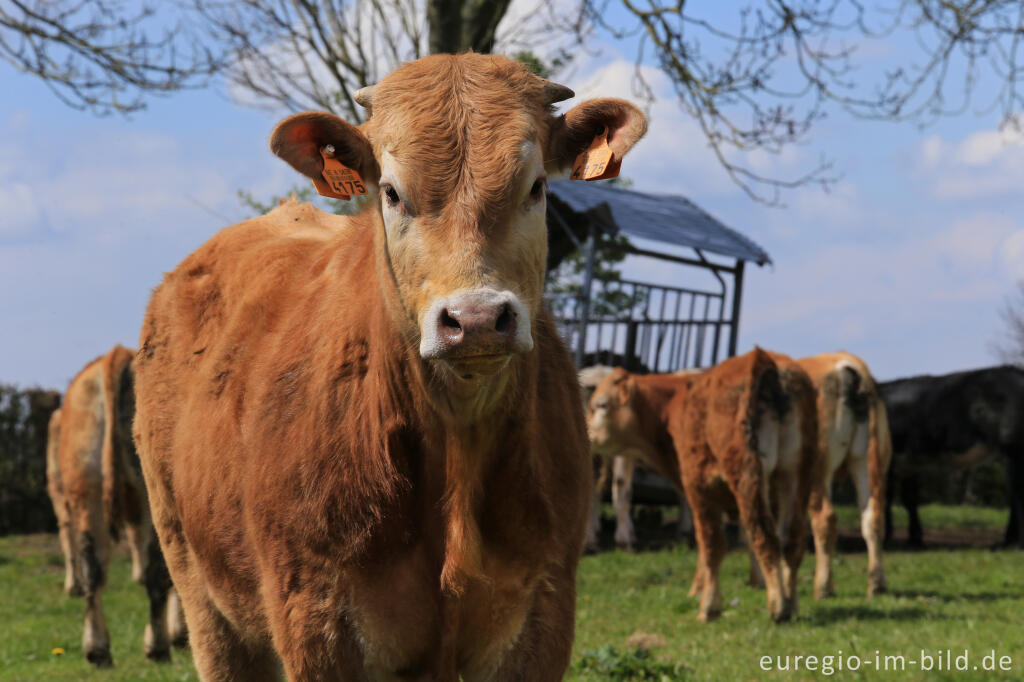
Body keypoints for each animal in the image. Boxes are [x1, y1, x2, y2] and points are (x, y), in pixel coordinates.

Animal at [45, 346, 186, 663]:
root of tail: (116, 355)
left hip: (86, 485)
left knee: (92, 564)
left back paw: (97, 648)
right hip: (148, 496)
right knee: (157, 570)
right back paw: (157, 645)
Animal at [133, 54, 643, 679]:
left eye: (537, 187)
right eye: (393, 192)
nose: (475, 319)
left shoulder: (541, 615)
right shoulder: (317, 622)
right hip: (201, 589)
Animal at [585, 350, 790, 622]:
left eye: (602, 405)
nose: (585, 435)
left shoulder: (697, 487)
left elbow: (707, 540)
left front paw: (699, 589)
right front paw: (756, 580)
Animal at [880, 360, 1024, 548]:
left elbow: (886, 497)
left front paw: (886, 536)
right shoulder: (909, 462)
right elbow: (909, 498)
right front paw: (914, 539)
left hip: (1011, 447)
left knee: (1018, 492)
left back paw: (1015, 543)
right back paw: (1008, 541)